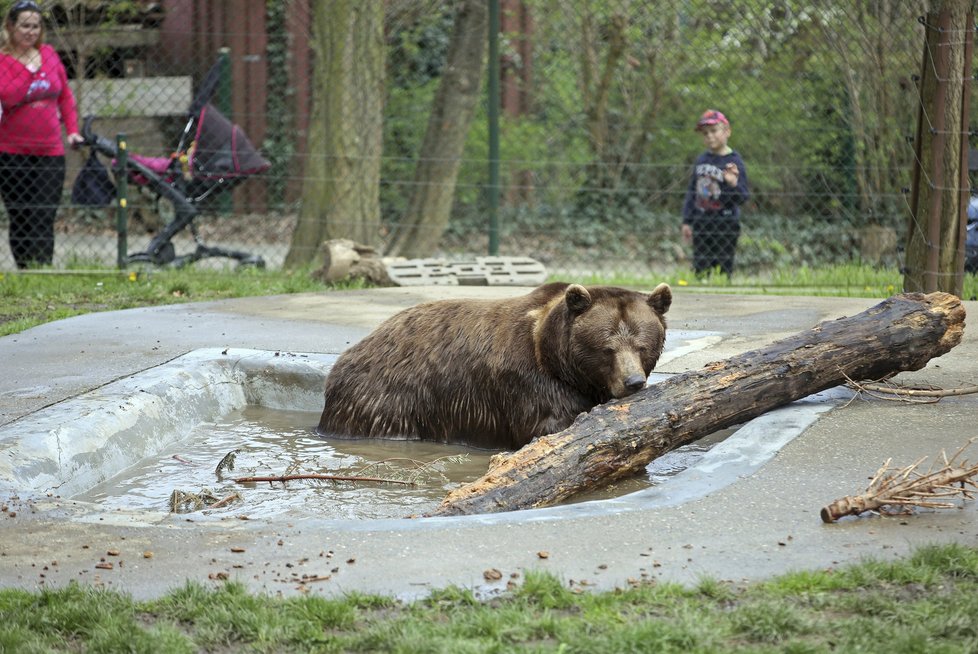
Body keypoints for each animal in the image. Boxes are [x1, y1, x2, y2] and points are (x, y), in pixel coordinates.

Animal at [318, 282, 672, 452]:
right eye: (607, 348)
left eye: (642, 346)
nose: (633, 382)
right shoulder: (527, 385)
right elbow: (547, 427)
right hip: (389, 398)